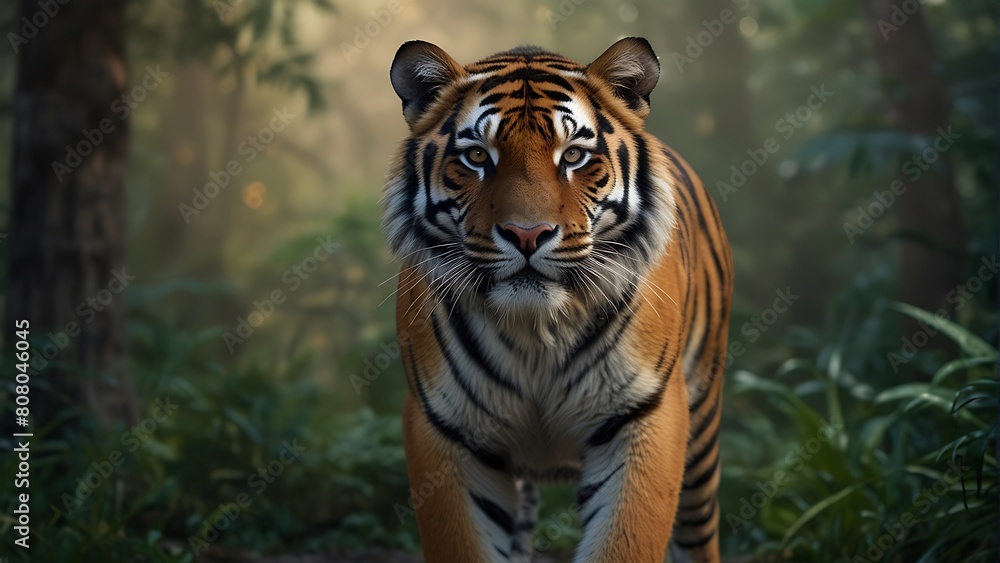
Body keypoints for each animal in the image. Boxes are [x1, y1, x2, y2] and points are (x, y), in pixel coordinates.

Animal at [381, 37, 733, 563]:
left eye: (573, 156)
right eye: (477, 156)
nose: (527, 234)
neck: (536, 331)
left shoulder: (643, 416)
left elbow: (625, 542)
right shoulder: (444, 431)